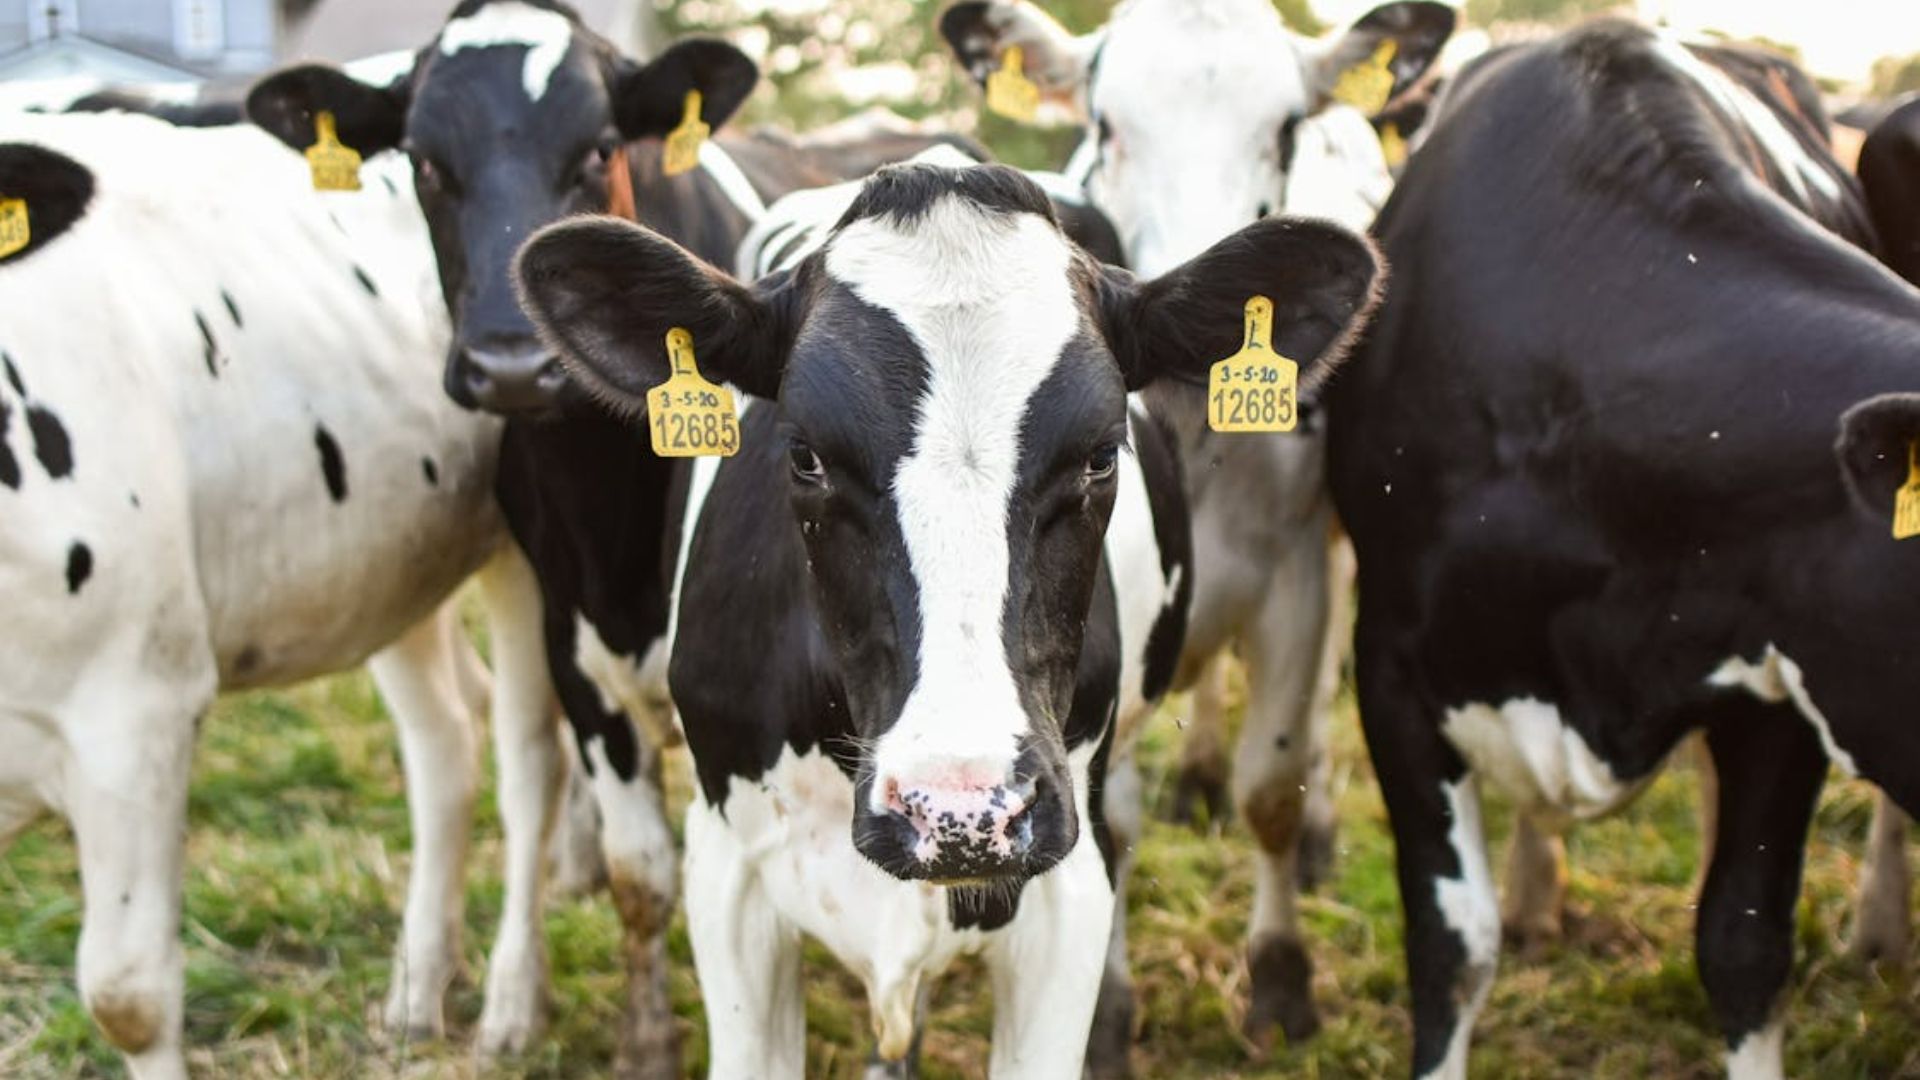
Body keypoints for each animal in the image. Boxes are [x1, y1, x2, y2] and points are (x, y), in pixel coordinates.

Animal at [0, 110, 558, 1080]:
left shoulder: (135, 712)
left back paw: (511, 1003)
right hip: (383, 563)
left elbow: (128, 997)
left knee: (529, 762)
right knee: (445, 736)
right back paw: (419, 985)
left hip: (523, 549)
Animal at [939, 0, 1453, 1050]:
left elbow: (1273, 786)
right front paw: (1109, 1010)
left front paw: (1281, 974)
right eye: (1105, 126)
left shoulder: (1298, 576)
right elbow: (1114, 823)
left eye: (1286, 129)